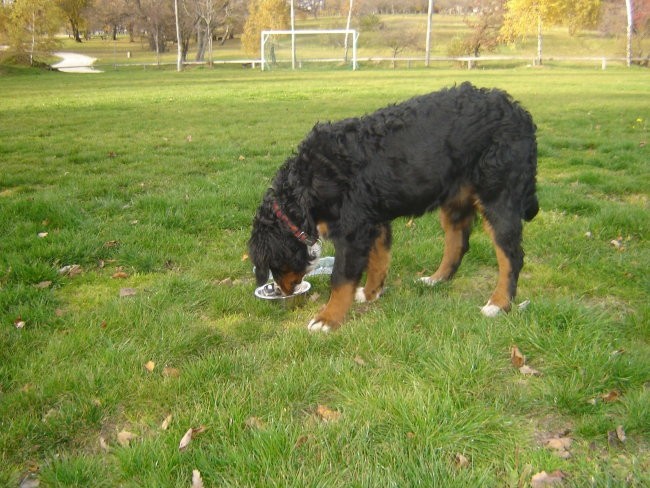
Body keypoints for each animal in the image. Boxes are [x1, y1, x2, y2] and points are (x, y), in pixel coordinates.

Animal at [248, 83, 536, 332]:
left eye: (273, 266)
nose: (284, 291)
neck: (307, 186)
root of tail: (518, 112)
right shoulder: (374, 221)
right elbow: (378, 261)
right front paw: (371, 293)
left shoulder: (352, 232)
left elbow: (340, 279)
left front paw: (328, 318)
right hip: (455, 200)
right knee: (458, 242)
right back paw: (436, 279)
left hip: (498, 198)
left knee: (511, 256)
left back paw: (498, 303)